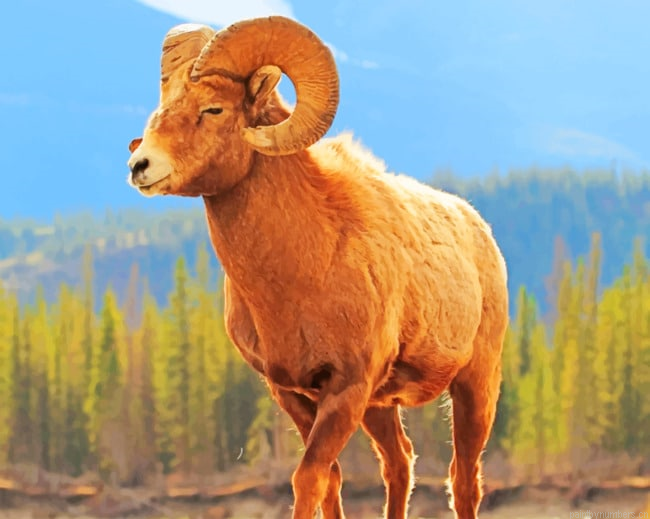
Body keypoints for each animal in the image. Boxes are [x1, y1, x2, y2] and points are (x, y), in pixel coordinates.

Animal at [127, 16, 508, 519]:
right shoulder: (293, 393)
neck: (302, 274)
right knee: (400, 464)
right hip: (382, 407)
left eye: (213, 108)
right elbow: (330, 480)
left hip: (473, 386)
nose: (140, 165)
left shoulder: (347, 388)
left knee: (463, 480)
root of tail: (480, 229)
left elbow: (308, 477)